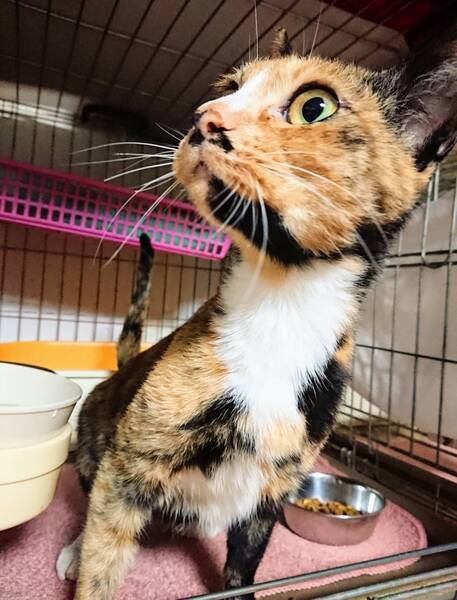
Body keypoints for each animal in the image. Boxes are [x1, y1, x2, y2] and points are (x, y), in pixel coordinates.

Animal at [57, 26, 457, 600]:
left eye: (315, 106)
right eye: (228, 88)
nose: (204, 118)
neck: (280, 304)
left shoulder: (274, 487)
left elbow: (244, 565)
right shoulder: (130, 464)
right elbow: (102, 560)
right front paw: (89, 565)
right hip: (97, 440)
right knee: (92, 503)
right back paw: (73, 547)